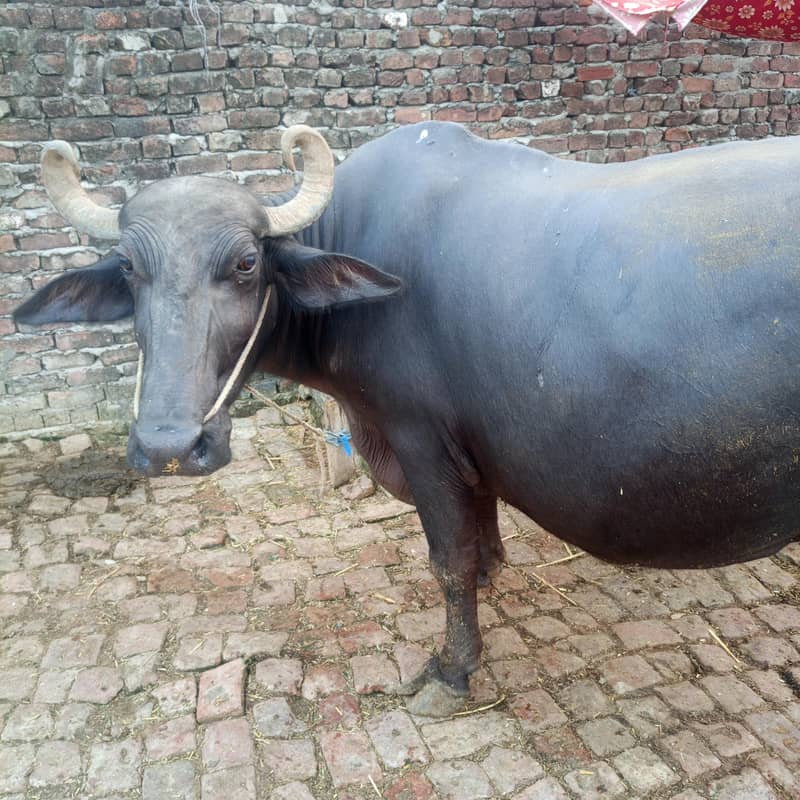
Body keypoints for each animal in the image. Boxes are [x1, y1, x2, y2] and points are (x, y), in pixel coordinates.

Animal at [14, 122, 800, 715]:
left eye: (244, 263)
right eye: (128, 268)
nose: (169, 444)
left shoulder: (423, 443)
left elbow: (448, 560)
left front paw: (452, 670)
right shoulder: (470, 458)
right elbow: (480, 540)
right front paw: (490, 584)